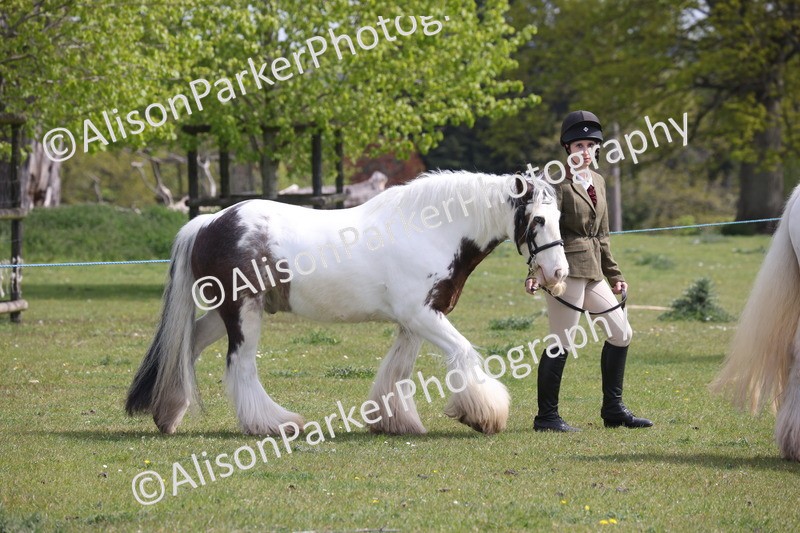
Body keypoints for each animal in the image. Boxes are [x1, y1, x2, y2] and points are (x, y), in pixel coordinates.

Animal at [125, 170, 568, 436]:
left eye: (560, 217)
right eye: (538, 220)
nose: (558, 273)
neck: (430, 230)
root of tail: (209, 222)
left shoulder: (415, 321)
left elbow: (397, 371)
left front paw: (393, 420)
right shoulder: (423, 316)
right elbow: (463, 353)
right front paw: (482, 414)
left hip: (223, 315)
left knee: (186, 348)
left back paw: (168, 415)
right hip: (242, 312)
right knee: (241, 367)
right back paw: (273, 423)